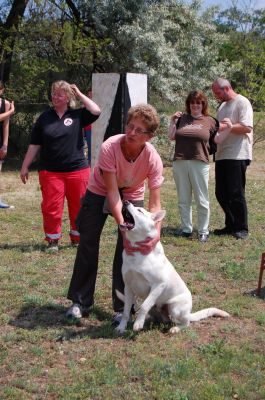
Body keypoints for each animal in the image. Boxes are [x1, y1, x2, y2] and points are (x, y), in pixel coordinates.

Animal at [116, 200, 228, 334]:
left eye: (140, 210)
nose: (125, 201)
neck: (137, 250)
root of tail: (189, 313)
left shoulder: (159, 285)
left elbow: (144, 305)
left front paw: (138, 324)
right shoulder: (128, 287)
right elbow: (126, 311)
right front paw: (121, 327)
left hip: (175, 307)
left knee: (185, 323)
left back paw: (175, 328)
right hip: (158, 309)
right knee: (163, 319)